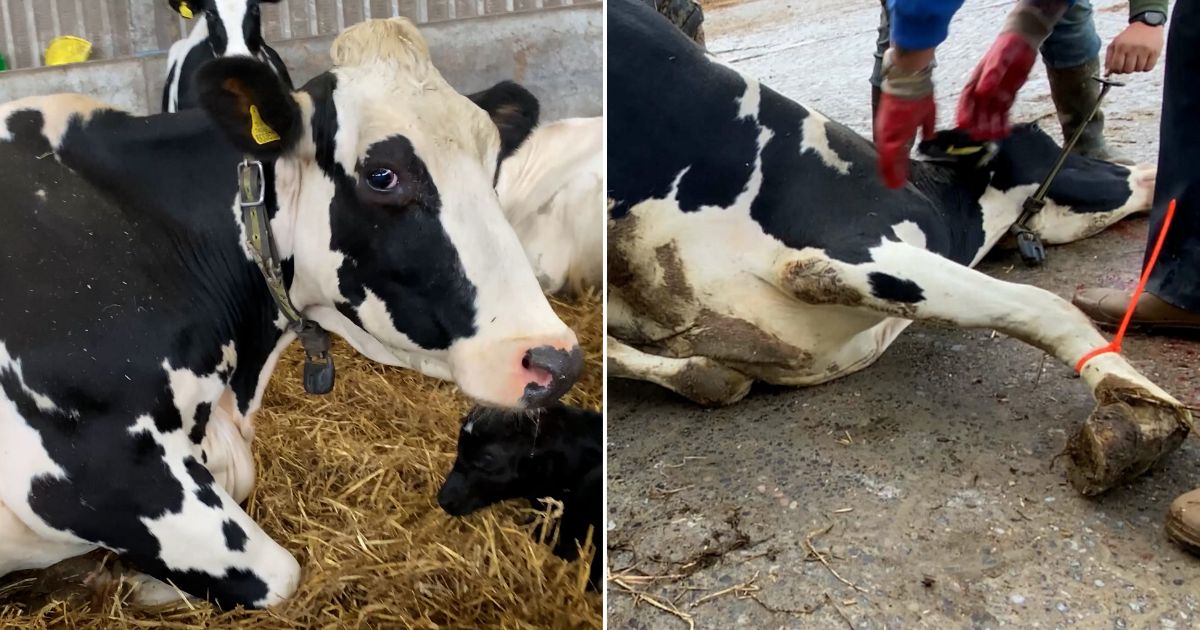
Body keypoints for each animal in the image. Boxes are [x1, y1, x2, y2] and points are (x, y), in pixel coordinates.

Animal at [606, 0, 1191, 498]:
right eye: (1068, 152)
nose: (1151, 170)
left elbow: (689, 373)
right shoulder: (842, 252)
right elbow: (1046, 305)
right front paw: (1143, 412)